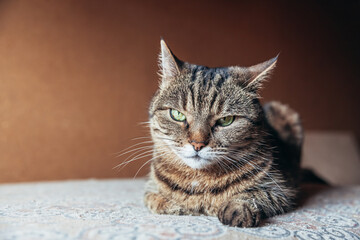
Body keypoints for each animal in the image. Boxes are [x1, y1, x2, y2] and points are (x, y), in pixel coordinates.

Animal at [142, 39, 302, 227]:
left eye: (226, 120)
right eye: (177, 115)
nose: (197, 144)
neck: (199, 179)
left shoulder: (282, 189)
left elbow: (254, 194)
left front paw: (237, 207)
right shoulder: (150, 188)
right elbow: (157, 200)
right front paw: (179, 205)